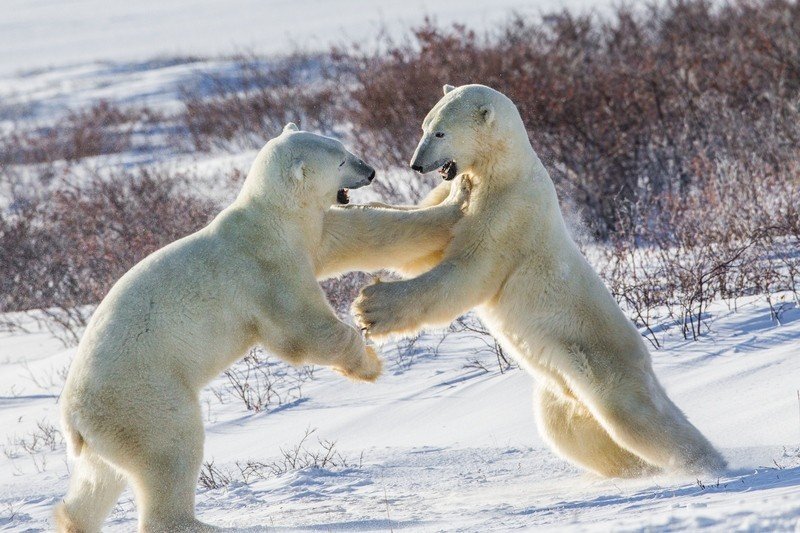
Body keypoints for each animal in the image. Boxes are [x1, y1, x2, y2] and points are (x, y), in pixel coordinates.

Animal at [57, 122, 468, 528]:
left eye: (343, 147)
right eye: (340, 159)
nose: (370, 171)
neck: (271, 217)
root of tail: (74, 417)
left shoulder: (310, 235)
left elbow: (365, 231)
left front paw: (458, 199)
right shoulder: (267, 267)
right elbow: (302, 328)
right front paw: (369, 362)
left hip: (108, 433)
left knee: (99, 479)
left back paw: (73, 519)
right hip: (143, 398)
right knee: (170, 449)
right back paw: (197, 522)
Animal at [354, 84, 728, 478]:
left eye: (440, 132)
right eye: (424, 126)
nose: (416, 164)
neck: (505, 170)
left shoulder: (511, 214)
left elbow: (466, 274)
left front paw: (370, 308)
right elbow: (422, 243)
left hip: (601, 361)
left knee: (636, 417)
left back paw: (707, 463)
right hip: (560, 389)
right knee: (571, 430)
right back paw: (632, 468)